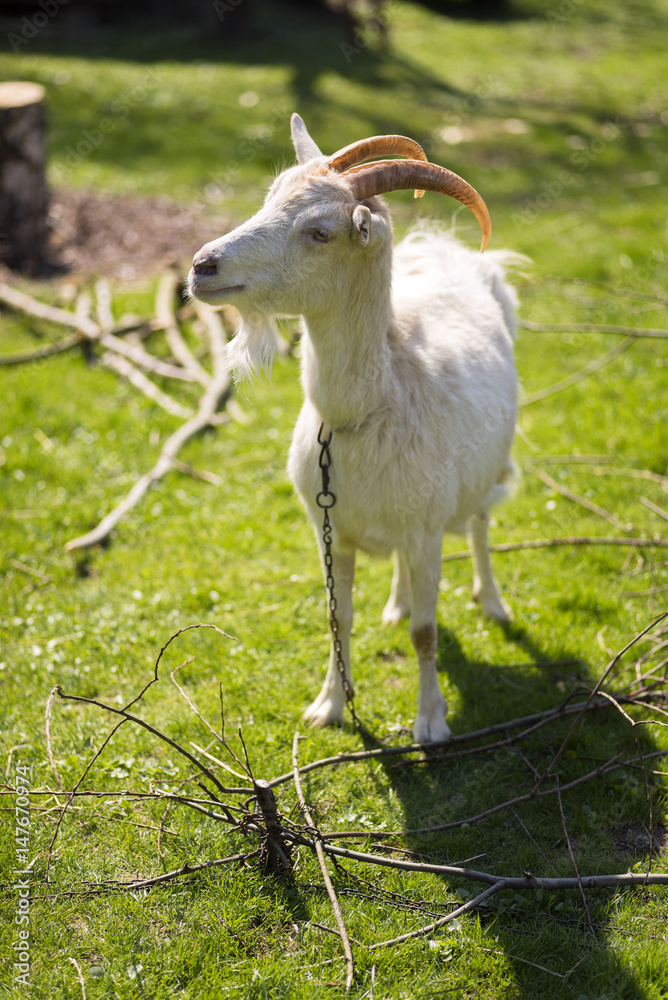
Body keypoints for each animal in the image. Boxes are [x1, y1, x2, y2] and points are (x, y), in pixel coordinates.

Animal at [189, 114, 518, 743]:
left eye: (320, 232)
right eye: (270, 198)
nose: (202, 266)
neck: (364, 413)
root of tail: (443, 248)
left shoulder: (427, 530)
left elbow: (425, 634)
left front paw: (430, 722)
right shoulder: (330, 530)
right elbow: (337, 618)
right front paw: (329, 706)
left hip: (486, 472)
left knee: (482, 524)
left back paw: (492, 601)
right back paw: (397, 600)